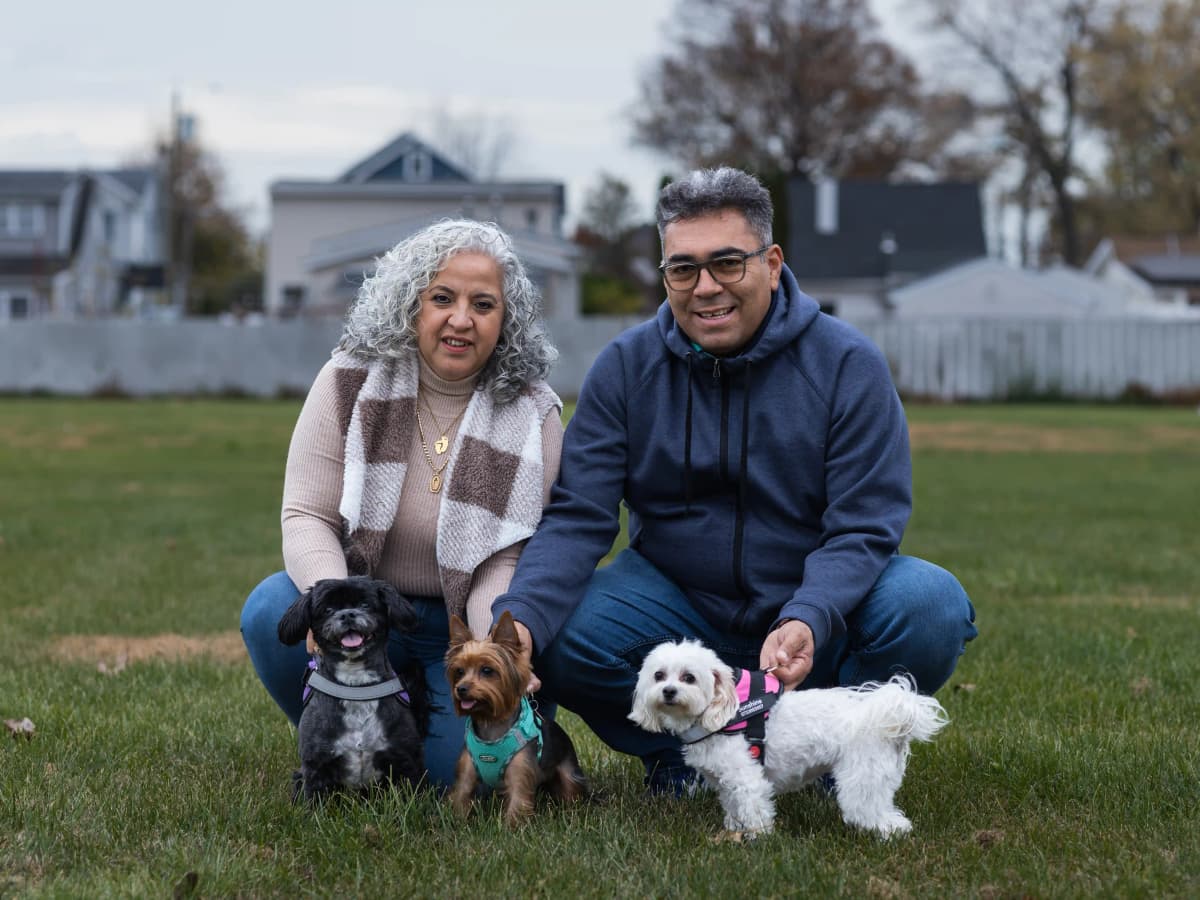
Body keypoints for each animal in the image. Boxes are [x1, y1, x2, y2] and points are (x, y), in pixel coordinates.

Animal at [277, 578, 432, 801]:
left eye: (365, 605)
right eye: (328, 609)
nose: (347, 614)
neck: (356, 686)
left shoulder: (406, 757)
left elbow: (412, 795)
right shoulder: (316, 764)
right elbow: (315, 801)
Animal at [628, 643, 945, 840]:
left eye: (689, 678)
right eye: (658, 675)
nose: (668, 691)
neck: (721, 716)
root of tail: (882, 714)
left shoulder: (747, 778)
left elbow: (755, 809)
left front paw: (757, 837)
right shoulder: (726, 782)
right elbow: (733, 806)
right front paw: (733, 829)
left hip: (862, 777)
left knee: (874, 813)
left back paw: (887, 834)